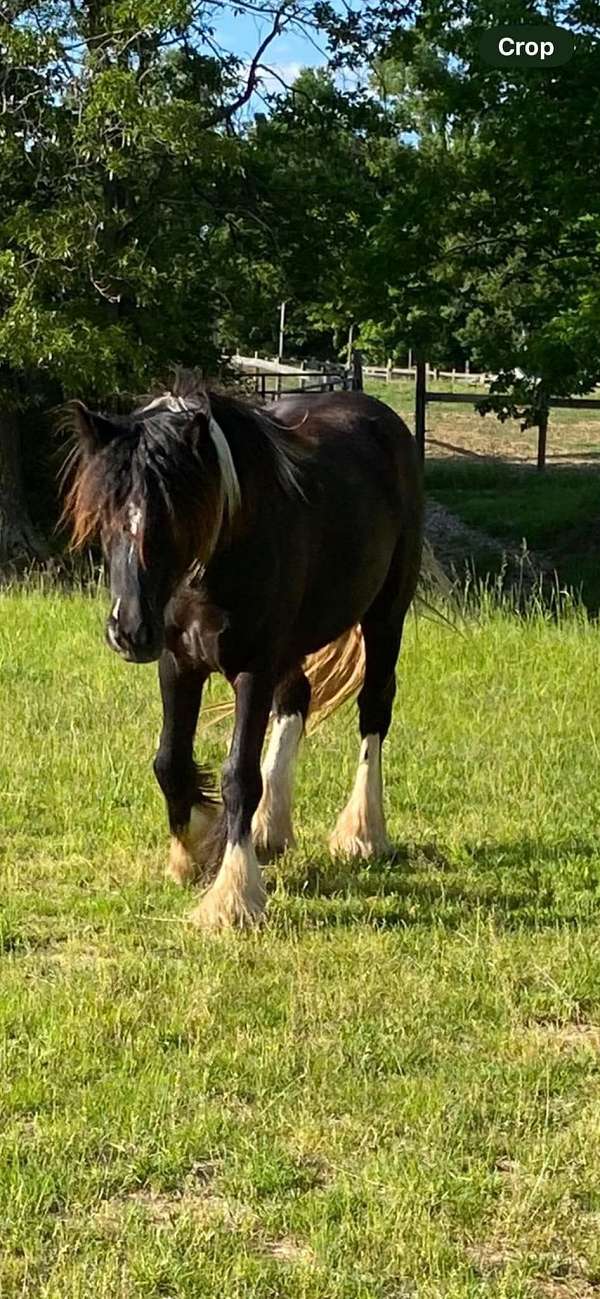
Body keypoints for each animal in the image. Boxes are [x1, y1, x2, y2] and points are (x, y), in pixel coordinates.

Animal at [64, 371, 420, 930]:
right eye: (104, 515)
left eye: (174, 517)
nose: (129, 630)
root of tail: (382, 417)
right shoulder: (178, 663)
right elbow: (170, 762)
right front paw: (191, 851)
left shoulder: (252, 669)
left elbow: (238, 776)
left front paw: (233, 896)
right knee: (297, 698)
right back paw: (272, 829)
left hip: (385, 616)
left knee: (374, 710)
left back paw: (363, 832)